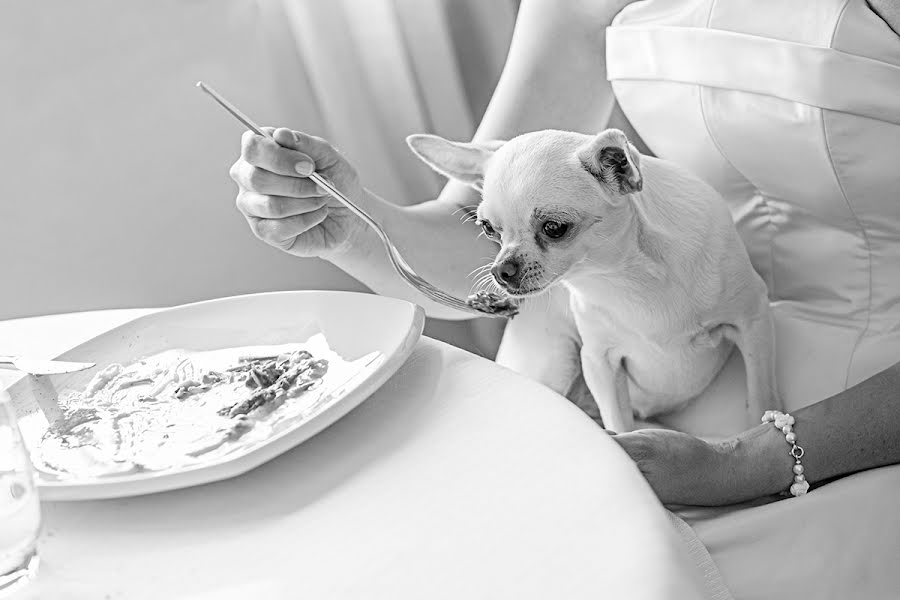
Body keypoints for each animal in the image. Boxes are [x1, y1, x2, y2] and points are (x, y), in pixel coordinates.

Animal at [408, 127, 780, 432]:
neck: (625, 275)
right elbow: (621, 425)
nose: (501, 270)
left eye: (554, 228)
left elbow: (761, 398)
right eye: (488, 229)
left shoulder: (753, 323)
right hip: (557, 360)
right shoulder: (600, 362)